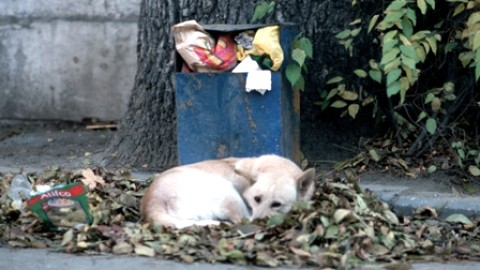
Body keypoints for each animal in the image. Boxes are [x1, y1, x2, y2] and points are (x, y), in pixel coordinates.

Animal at [141, 154, 316, 228]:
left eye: (276, 204)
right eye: (257, 199)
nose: (258, 222)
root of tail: (152, 203)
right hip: (226, 191)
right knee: (241, 219)